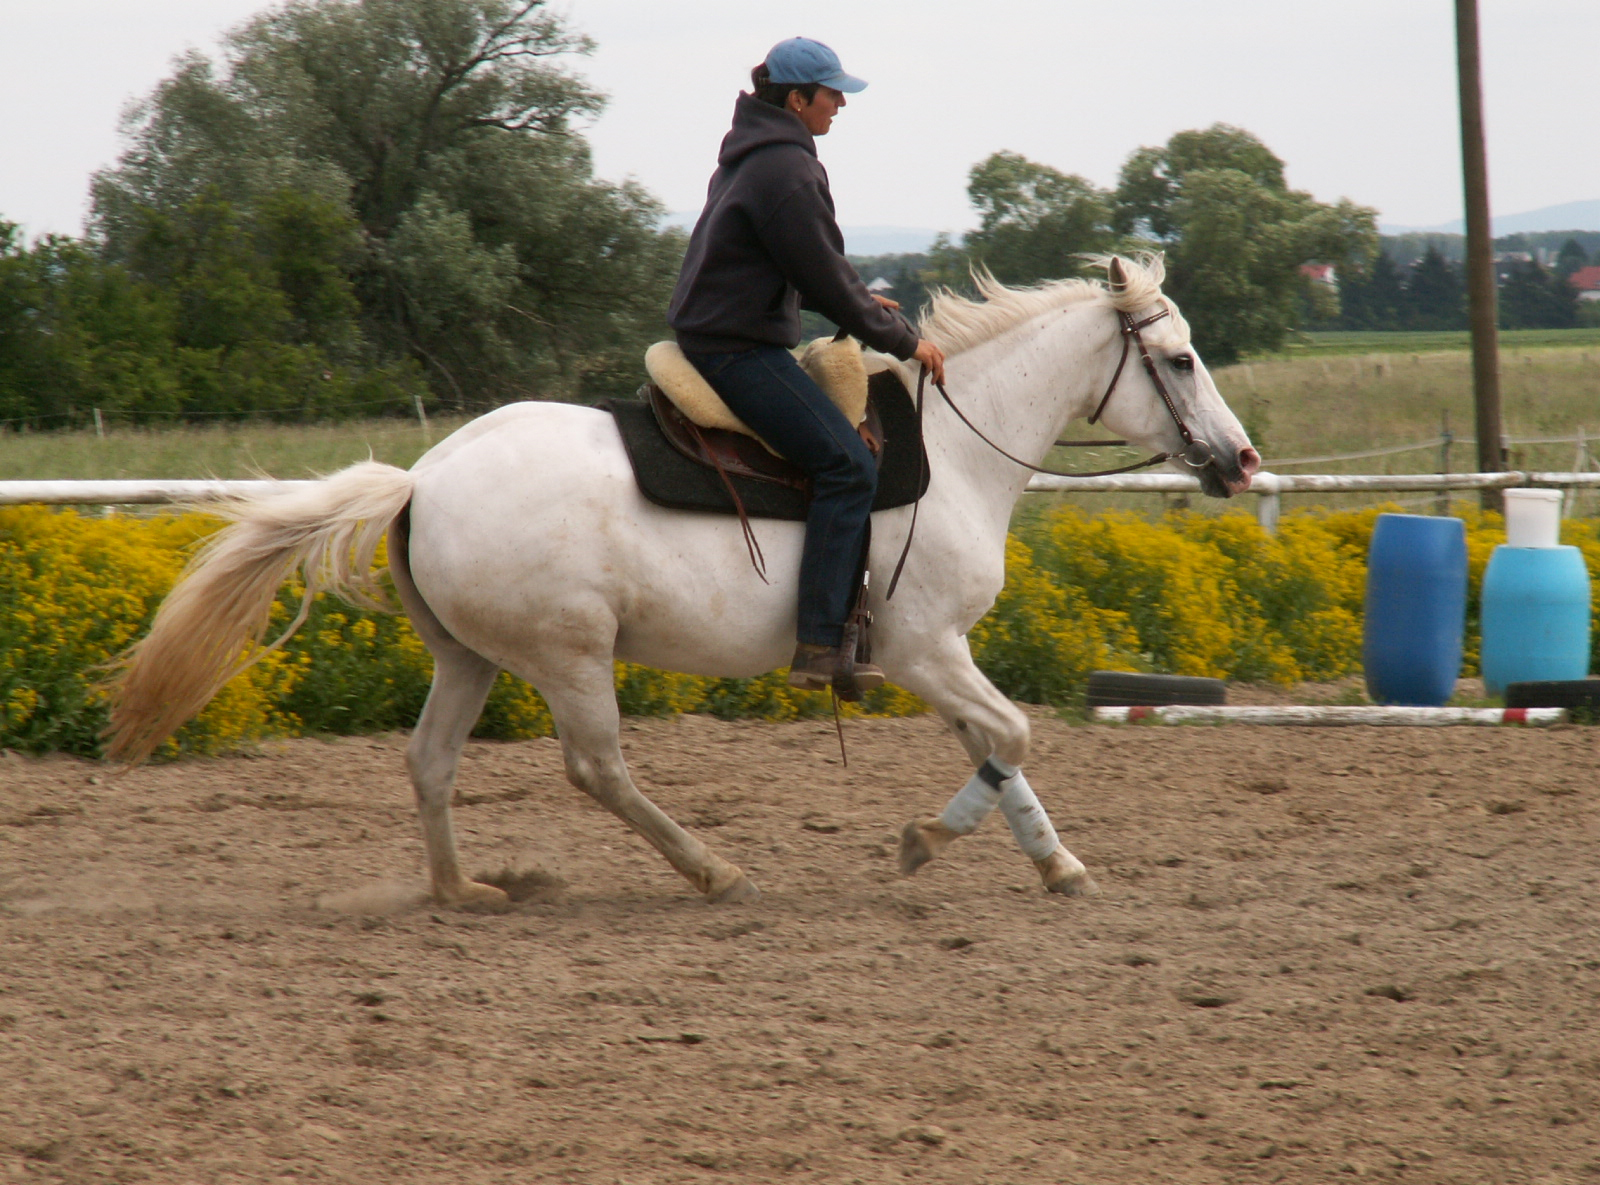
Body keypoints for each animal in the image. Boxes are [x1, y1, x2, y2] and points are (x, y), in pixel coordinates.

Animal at [109, 254, 1260, 908]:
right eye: (1183, 359)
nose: (1242, 461)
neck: (954, 451)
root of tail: (422, 479)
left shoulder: (945, 655)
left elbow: (997, 744)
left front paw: (1054, 864)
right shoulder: (921, 650)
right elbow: (1011, 735)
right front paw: (924, 842)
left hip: (470, 659)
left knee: (430, 763)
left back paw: (461, 890)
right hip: (570, 657)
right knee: (598, 770)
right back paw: (713, 872)